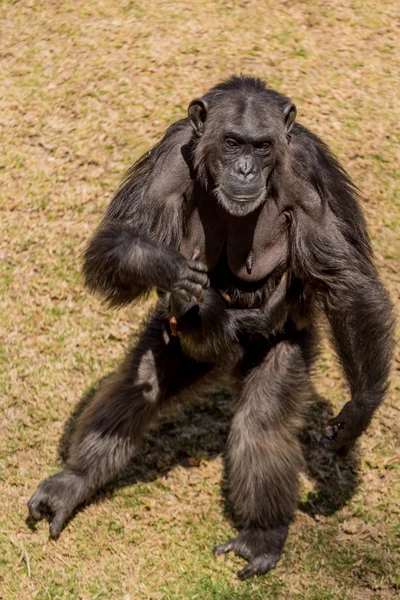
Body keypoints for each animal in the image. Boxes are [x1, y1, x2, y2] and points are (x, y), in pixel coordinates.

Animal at [28, 76, 394, 580]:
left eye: (262, 146)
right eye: (233, 142)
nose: (245, 168)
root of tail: (225, 360)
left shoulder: (308, 175)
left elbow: (347, 281)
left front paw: (358, 413)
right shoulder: (167, 159)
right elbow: (112, 241)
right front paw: (163, 265)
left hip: (282, 343)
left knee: (262, 422)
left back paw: (262, 535)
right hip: (178, 343)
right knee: (138, 385)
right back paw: (75, 480)